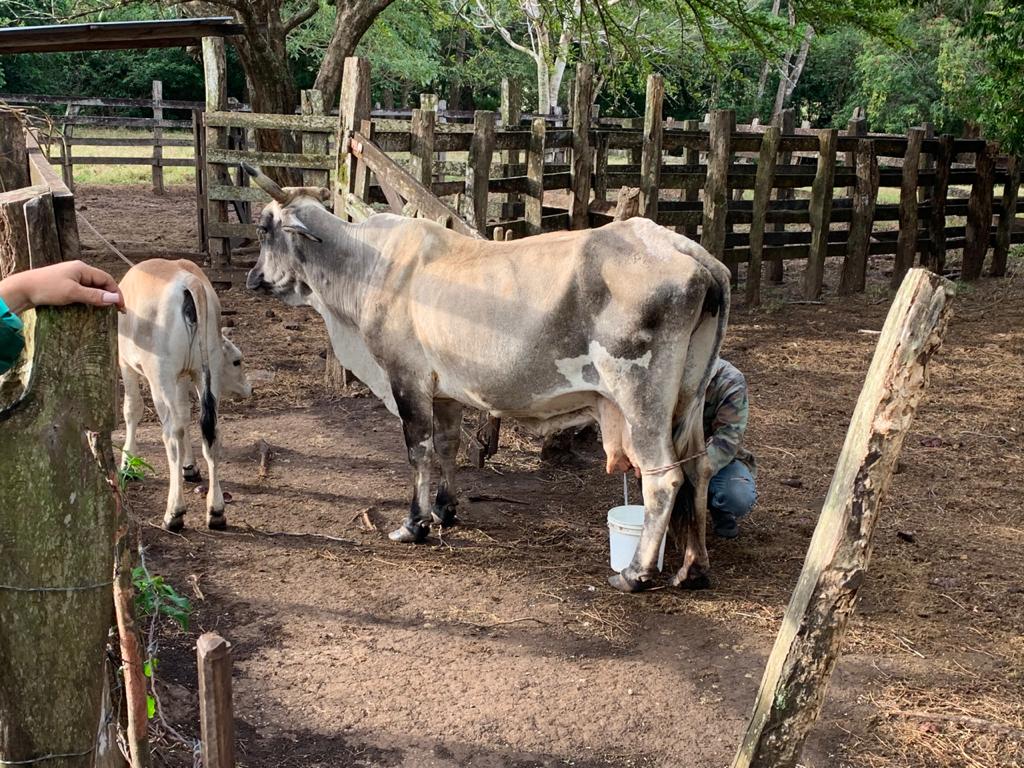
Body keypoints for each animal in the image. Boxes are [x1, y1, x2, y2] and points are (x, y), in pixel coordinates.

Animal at [118, 259, 253, 532]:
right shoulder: (183, 377)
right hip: (205, 372)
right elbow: (185, 415)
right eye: (237, 361)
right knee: (210, 432)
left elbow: (132, 409)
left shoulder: (125, 363)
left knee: (171, 433)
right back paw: (216, 510)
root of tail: (190, 283)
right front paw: (189, 467)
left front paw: (128, 461)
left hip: (161, 375)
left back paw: (174, 512)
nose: (249, 388)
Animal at [241, 162, 730, 593]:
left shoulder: (407, 378)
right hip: (688, 398)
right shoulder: (445, 391)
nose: (252, 278)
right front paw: (445, 509)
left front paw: (414, 524)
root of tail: (687, 250)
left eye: (265, 228)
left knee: (664, 479)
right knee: (698, 467)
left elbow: (418, 450)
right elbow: (446, 445)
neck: (366, 266)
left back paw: (635, 573)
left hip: (640, 400)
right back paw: (693, 568)